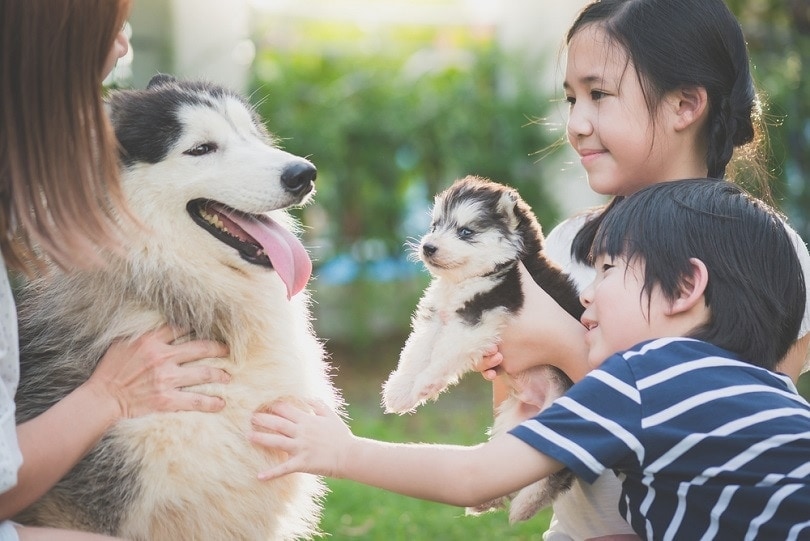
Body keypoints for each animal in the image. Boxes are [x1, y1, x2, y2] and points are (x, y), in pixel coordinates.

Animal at [380, 176, 580, 520]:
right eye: (435, 226)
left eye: (465, 232)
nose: (428, 246)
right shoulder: (436, 317)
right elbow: (415, 352)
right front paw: (400, 391)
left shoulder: (480, 314)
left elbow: (443, 354)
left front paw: (425, 383)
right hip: (514, 429)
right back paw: (488, 500)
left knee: (558, 470)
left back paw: (524, 504)